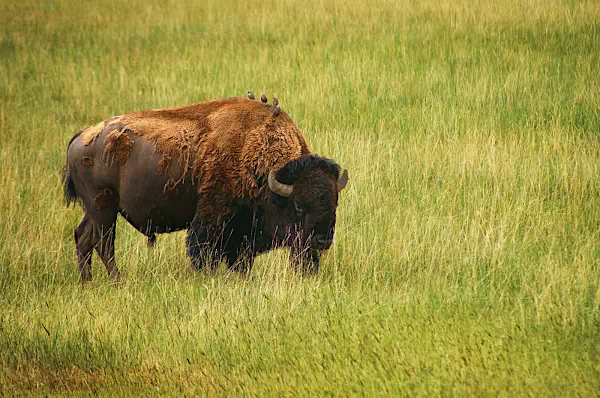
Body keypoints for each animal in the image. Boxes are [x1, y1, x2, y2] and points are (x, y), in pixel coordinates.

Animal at [62, 97, 346, 282]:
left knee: (83, 237)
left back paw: (87, 281)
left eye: (335, 202)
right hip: (104, 210)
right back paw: (116, 280)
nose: (322, 240)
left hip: (96, 211)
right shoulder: (211, 219)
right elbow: (201, 251)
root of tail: (80, 137)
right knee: (103, 244)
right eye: (298, 205)